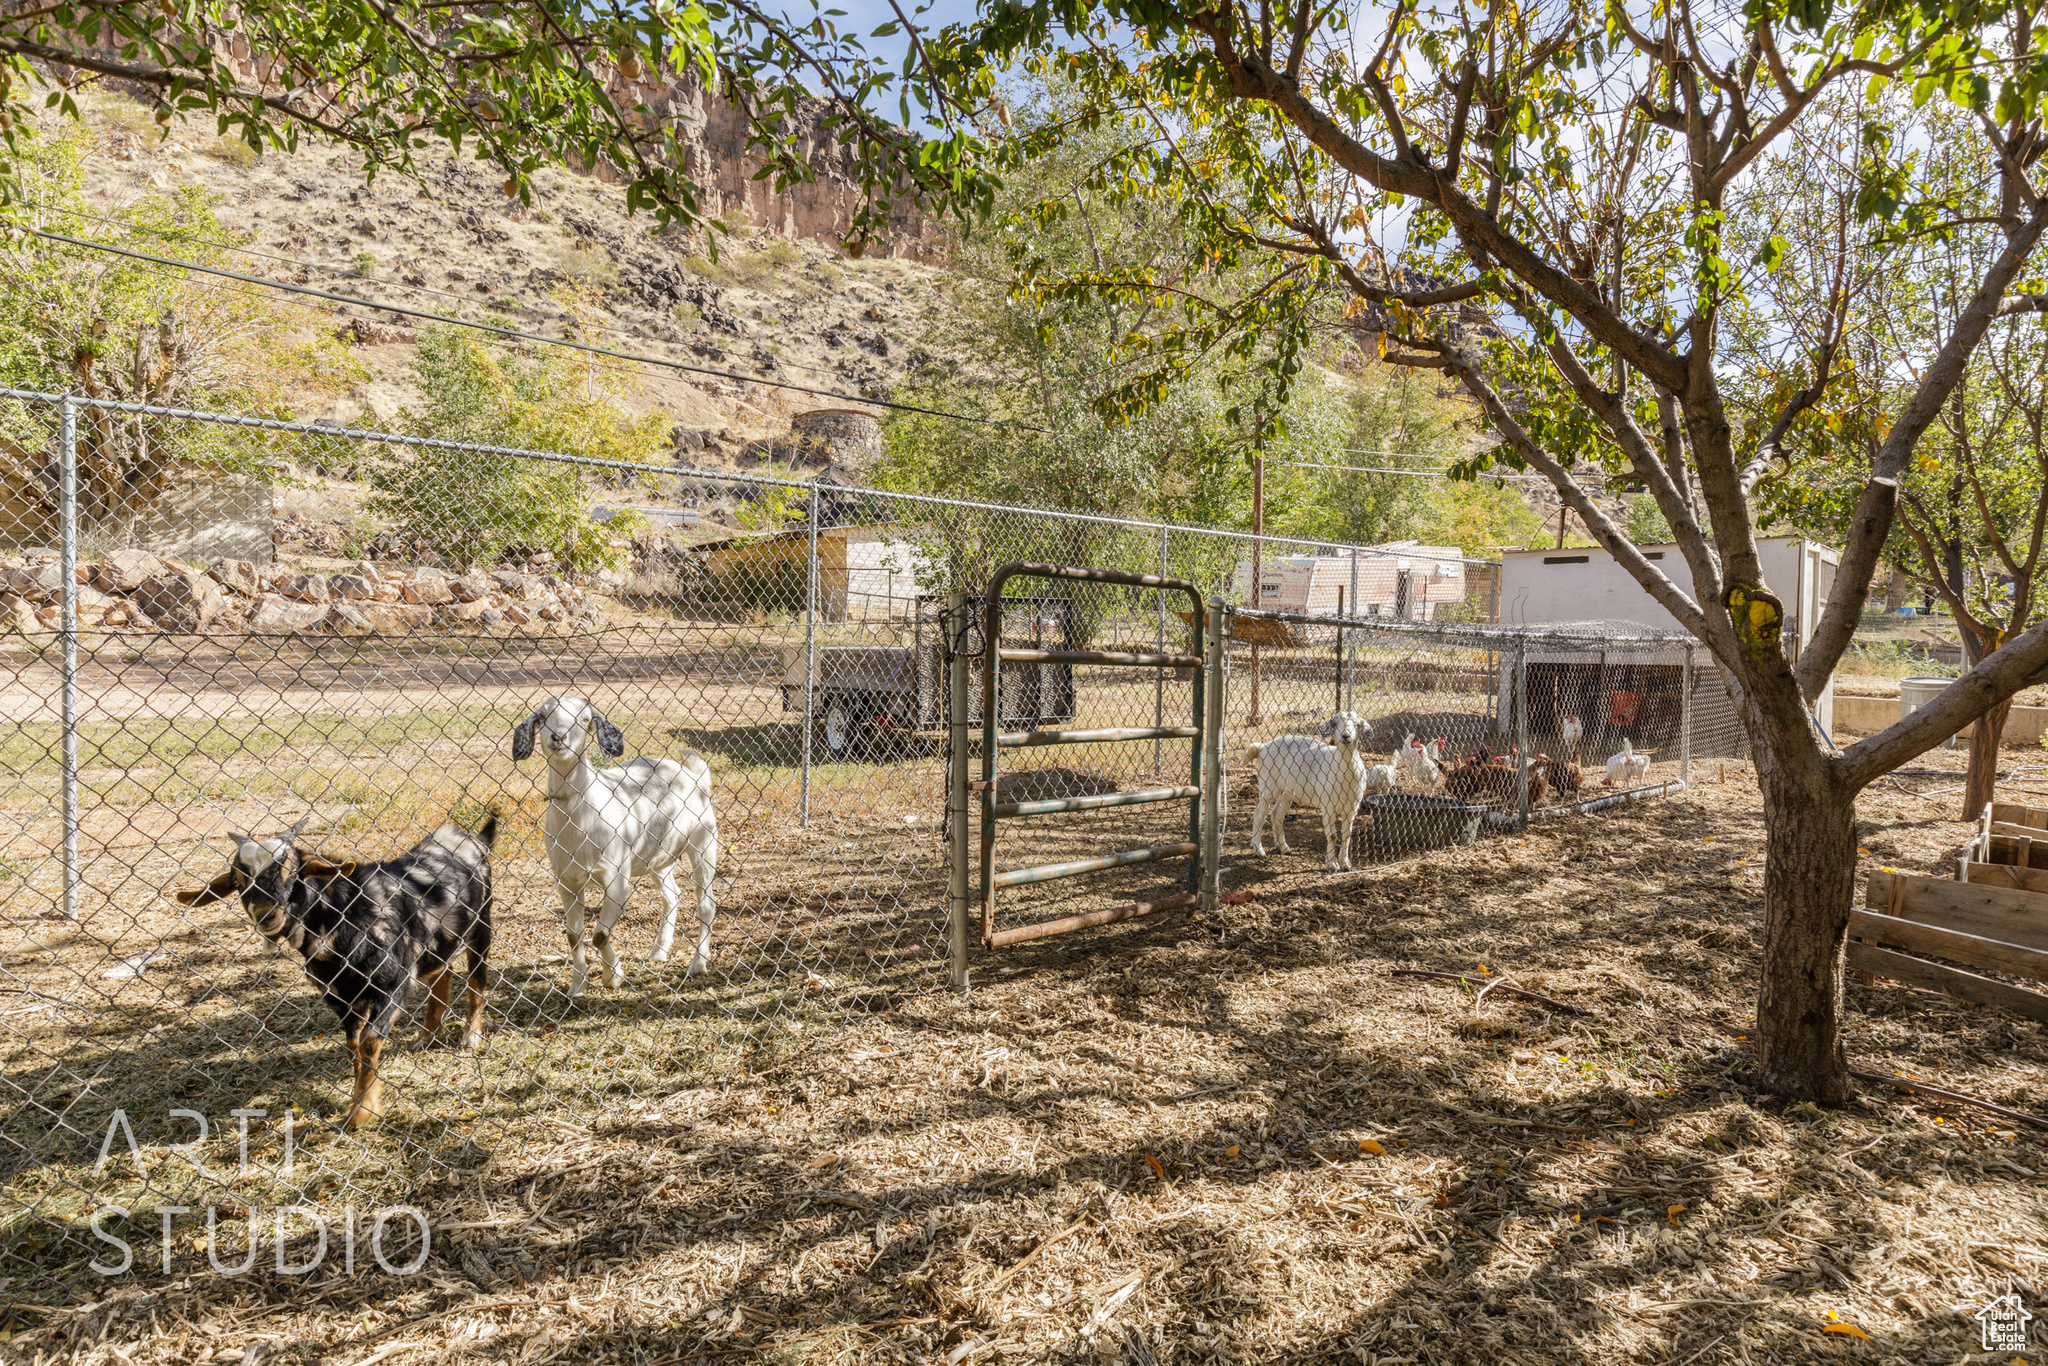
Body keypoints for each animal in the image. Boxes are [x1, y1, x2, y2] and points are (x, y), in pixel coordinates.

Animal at [180, 810, 499, 1130]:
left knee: (477, 979)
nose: (265, 914)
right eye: (237, 879)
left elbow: (369, 1042)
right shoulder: (340, 998)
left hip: (481, 926)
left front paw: (361, 1112)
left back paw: (471, 1036)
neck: (346, 918)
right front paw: (358, 1093)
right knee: (442, 973)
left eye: (293, 870)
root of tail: (472, 839)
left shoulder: (394, 984)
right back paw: (427, 1035)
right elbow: (353, 1044)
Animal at [512, 700, 720, 999]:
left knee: (706, 903)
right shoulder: (566, 881)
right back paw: (659, 951)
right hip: (657, 857)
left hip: (703, 842)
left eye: (584, 718)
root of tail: (693, 774)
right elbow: (573, 935)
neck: (581, 816)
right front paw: (577, 986)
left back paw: (698, 964)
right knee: (671, 895)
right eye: (542, 715)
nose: (558, 737)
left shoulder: (616, 879)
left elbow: (600, 934)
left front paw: (613, 977)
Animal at [1236, 712, 1368, 872]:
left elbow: (1347, 835)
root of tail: (1263, 747)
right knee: (1259, 815)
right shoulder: (1328, 806)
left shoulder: (1352, 808)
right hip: (1268, 787)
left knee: (1276, 815)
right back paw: (1258, 849)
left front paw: (1346, 864)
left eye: (1357, 724)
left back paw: (1284, 848)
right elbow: (1332, 836)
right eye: (1336, 723)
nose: (1346, 736)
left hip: (1286, 793)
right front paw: (1332, 865)